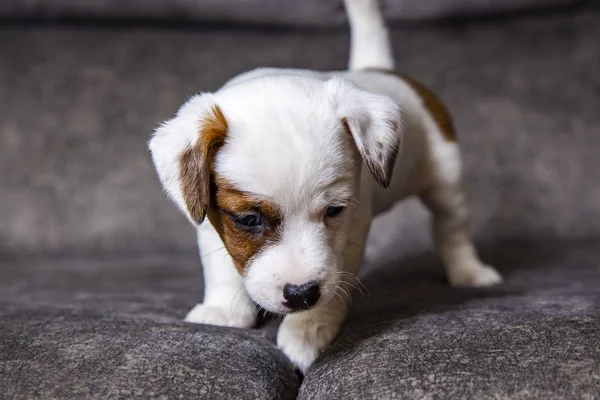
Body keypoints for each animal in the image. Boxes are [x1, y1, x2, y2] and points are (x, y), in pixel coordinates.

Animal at [149, 0, 502, 372]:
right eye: (248, 220)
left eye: (334, 210)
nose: (302, 295)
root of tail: (378, 69)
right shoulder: (207, 216)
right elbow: (219, 266)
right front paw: (223, 309)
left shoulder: (350, 234)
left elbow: (334, 285)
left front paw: (308, 329)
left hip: (446, 177)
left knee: (451, 228)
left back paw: (469, 271)